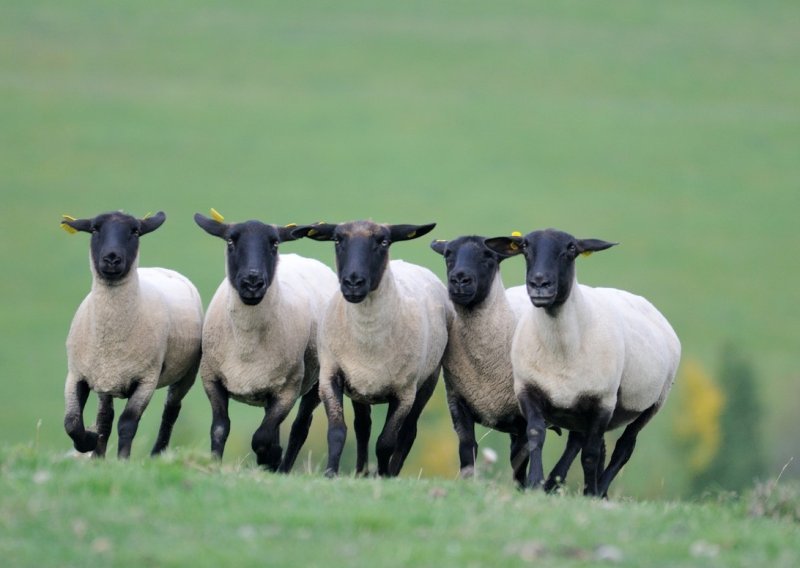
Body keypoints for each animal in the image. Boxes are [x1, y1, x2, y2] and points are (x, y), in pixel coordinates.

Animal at [61, 211, 203, 460]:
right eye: (95, 229)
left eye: (135, 231)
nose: (111, 258)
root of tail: (162, 269)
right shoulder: (78, 374)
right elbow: (72, 422)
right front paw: (90, 443)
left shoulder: (146, 378)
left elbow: (128, 423)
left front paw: (122, 460)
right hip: (106, 377)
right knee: (105, 416)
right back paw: (98, 453)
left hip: (188, 372)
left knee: (171, 410)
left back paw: (157, 453)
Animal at [197, 213, 340, 470]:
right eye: (230, 241)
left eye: (274, 244)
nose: (252, 282)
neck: (246, 344)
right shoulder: (211, 378)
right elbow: (220, 428)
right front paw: (215, 465)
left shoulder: (288, 389)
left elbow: (262, 437)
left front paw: (271, 458)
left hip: (317, 379)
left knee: (300, 428)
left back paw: (281, 467)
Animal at [296, 220, 456, 478]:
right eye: (338, 240)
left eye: (384, 242)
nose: (353, 282)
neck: (368, 337)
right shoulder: (331, 375)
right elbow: (337, 431)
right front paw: (331, 474)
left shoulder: (404, 393)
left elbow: (386, 442)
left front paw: (383, 476)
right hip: (360, 387)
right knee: (363, 427)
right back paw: (361, 472)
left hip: (427, 381)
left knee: (408, 434)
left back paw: (391, 472)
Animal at [484, 229, 680, 494]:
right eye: (524, 247)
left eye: (571, 249)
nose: (539, 284)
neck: (562, 351)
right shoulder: (528, 389)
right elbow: (536, 435)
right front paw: (535, 483)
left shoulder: (603, 402)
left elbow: (590, 453)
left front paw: (589, 493)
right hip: (578, 411)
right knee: (580, 441)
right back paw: (562, 484)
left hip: (652, 403)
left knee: (624, 447)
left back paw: (599, 490)